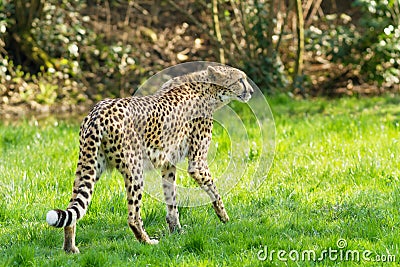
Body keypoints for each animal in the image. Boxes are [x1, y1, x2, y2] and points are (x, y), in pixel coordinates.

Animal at [46, 65, 253, 253]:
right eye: (240, 80)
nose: (251, 91)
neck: (207, 89)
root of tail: (98, 111)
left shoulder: (168, 163)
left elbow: (171, 200)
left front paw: (176, 231)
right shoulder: (197, 163)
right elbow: (215, 191)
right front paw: (225, 218)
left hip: (88, 167)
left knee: (74, 208)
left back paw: (70, 248)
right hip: (134, 169)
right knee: (132, 216)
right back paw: (147, 242)